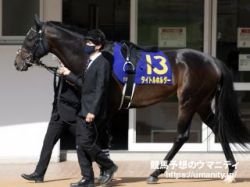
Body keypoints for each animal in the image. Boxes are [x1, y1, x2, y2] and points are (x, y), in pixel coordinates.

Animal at [14, 17, 249, 184]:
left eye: (30, 39)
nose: (18, 62)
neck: (94, 56)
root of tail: (213, 60)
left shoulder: (105, 109)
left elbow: (100, 139)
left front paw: (105, 173)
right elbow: (100, 140)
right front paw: (104, 171)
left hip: (188, 101)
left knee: (182, 136)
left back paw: (155, 173)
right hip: (201, 103)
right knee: (218, 128)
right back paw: (230, 171)